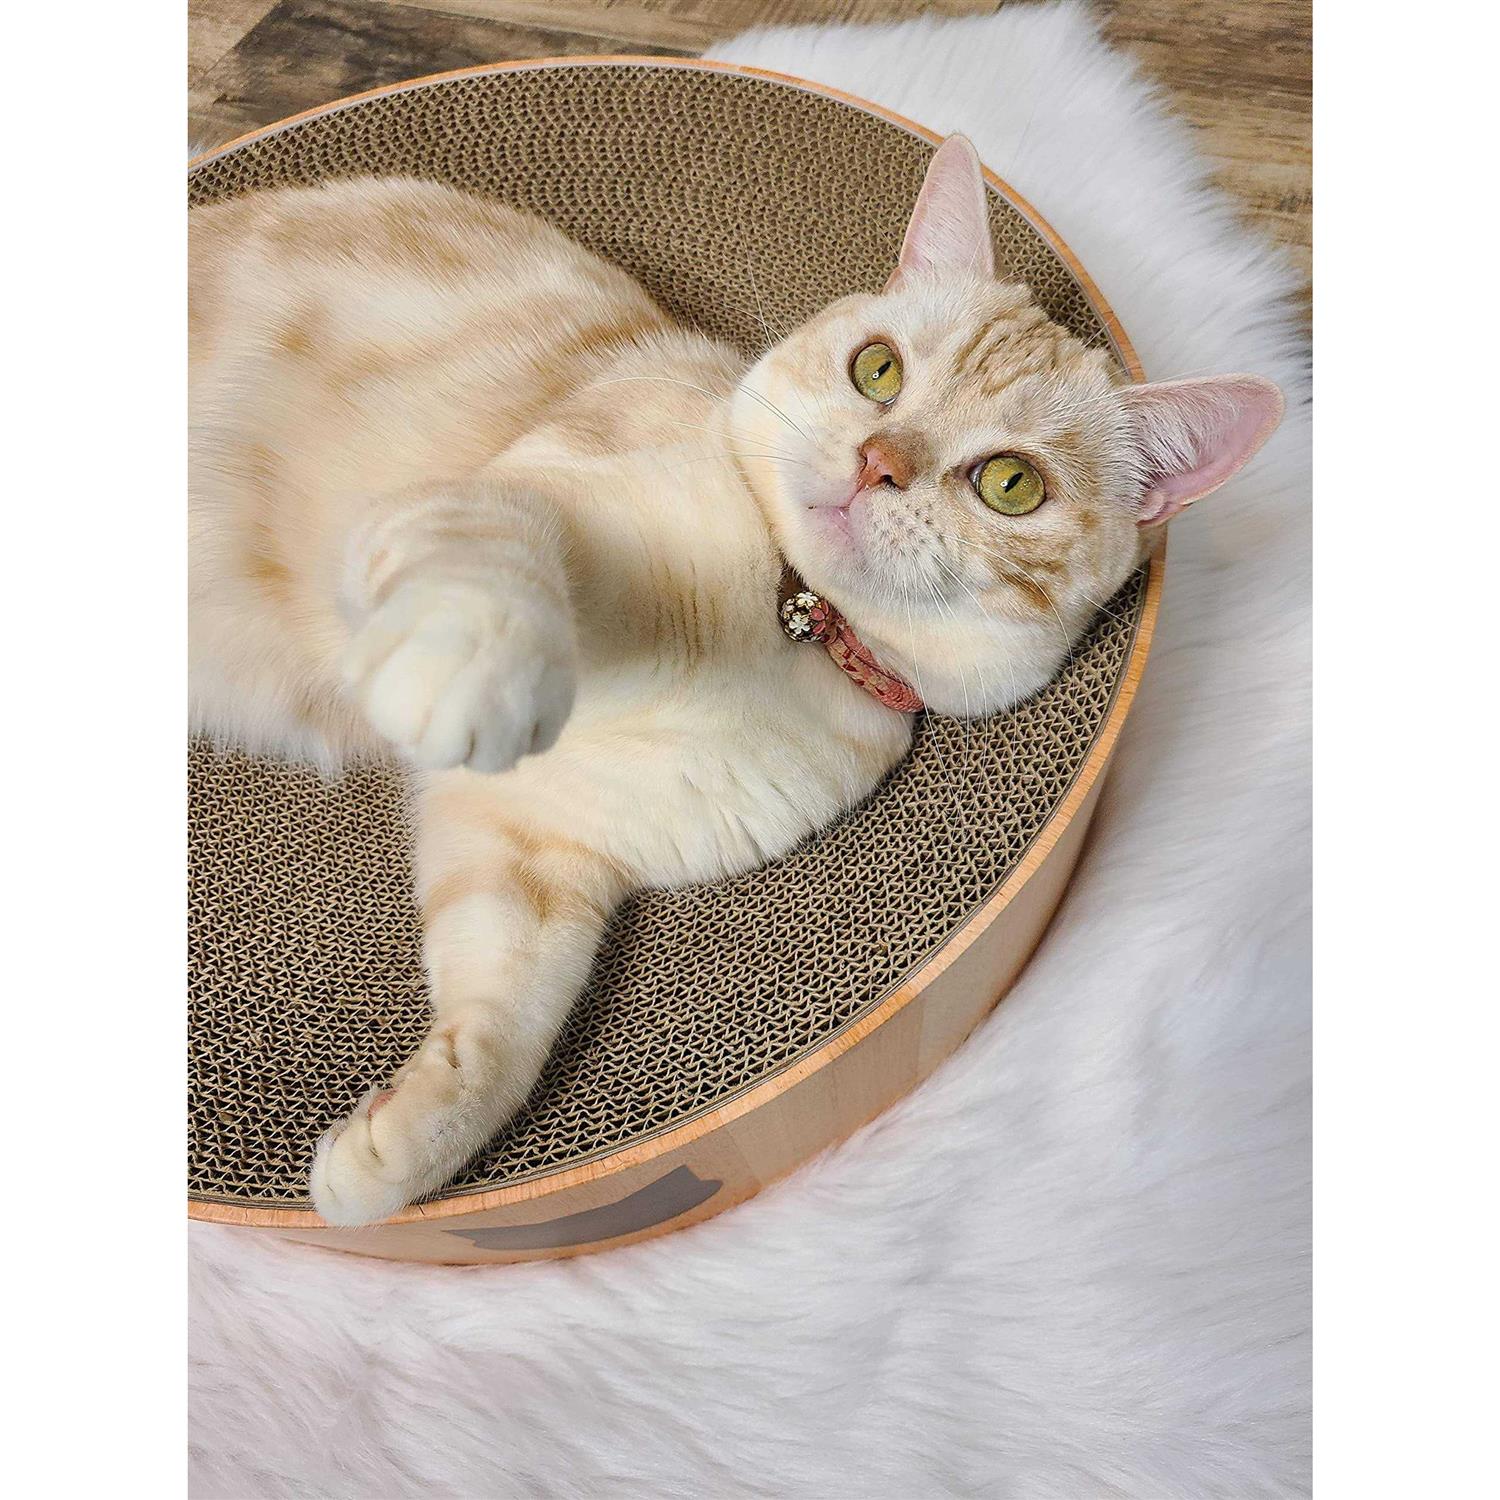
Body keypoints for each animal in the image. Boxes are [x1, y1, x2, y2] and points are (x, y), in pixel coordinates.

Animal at [189, 135, 1283, 1226]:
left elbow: (506, 1021)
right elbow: (498, 565)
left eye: (1011, 484)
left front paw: (392, 1152)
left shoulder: (527, 843)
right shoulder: (508, 510)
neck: (789, 633)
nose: (878, 461)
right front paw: (465, 675)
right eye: (878, 369)